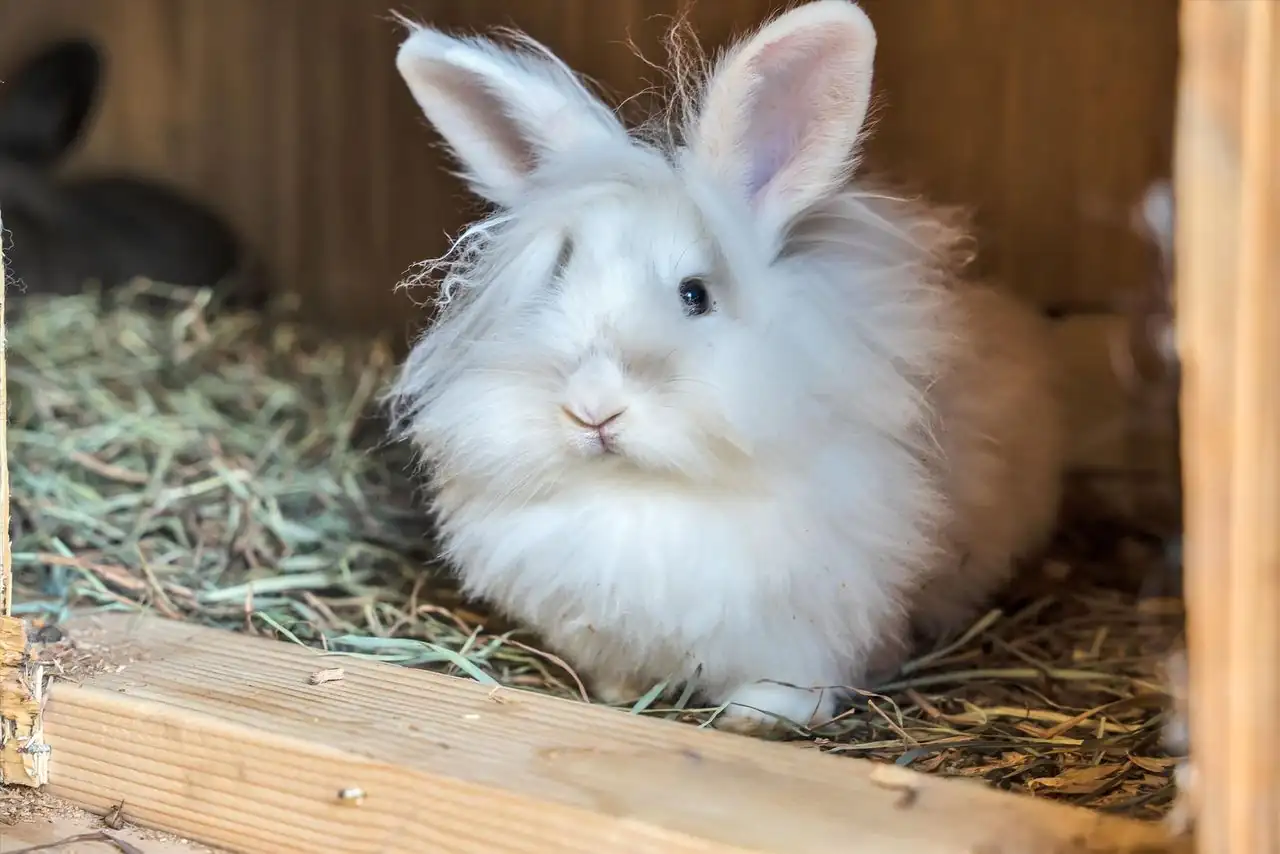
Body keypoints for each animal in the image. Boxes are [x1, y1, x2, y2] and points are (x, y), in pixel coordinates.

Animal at [385, 0, 1066, 735]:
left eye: (696, 295)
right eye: (558, 275)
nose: (592, 409)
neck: (642, 492)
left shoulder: (809, 618)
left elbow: (790, 678)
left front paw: (756, 718)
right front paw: (618, 693)